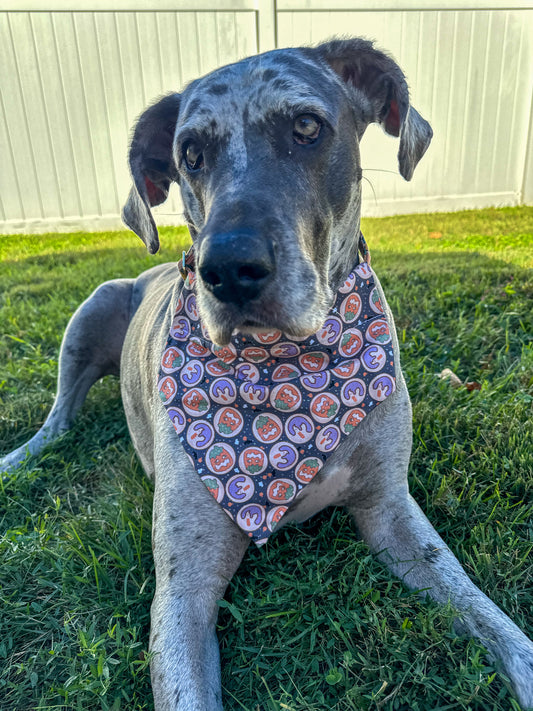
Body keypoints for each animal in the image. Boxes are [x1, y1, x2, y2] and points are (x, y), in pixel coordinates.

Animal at [1, 40, 532, 711]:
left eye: (306, 127)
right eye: (190, 155)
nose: (226, 268)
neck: (289, 378)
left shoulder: (391, 511)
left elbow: (483, 611)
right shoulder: (182, 594)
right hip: (92, 309)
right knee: (59, 417)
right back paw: (19, 458)